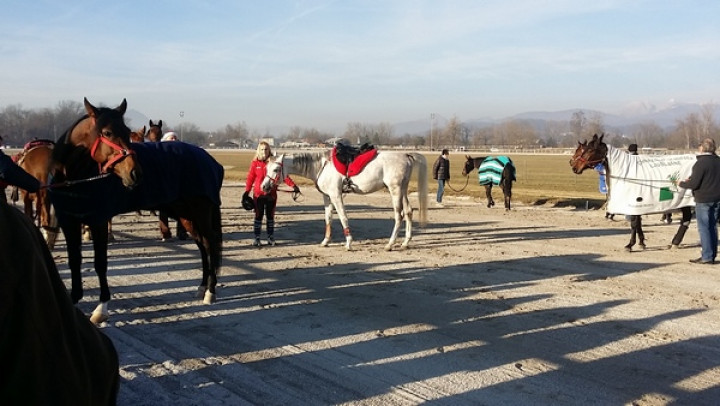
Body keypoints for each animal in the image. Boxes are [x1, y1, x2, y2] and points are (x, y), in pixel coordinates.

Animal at [49, 98, 224, 324]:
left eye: (126, 131)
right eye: (107, 133)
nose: (135, 173)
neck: (75, 178)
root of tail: (209, 159)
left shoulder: (98, 221)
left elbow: (100, 263)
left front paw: (101, 308)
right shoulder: (69, 222)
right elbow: (74, 260)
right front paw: (74, 299)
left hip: (201, 213)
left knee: (211, 245)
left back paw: (210, 291)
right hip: (186, 216)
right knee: (202, 245)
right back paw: (202, 287)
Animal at [262, 150, 428, 251]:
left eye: (275, 169)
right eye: (266, 168)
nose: (264, 186)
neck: (321, 166)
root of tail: (406, 155)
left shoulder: (336, 195)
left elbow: (343, 217)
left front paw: (348, 242)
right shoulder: (327, 196)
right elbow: (328, 218)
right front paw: (325, 241)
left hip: (395, 190)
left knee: (399, 215)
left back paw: (390, 244)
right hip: (403, 190)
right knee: (409, 212)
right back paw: (405, 243)